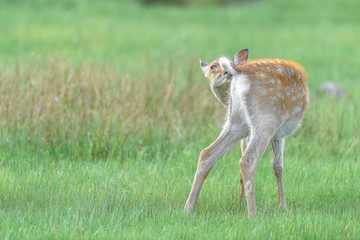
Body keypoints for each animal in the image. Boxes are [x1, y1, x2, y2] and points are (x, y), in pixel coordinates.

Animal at [186, 48, 310, 218]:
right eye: (212, 66)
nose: (225, 72)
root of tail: (238, 72)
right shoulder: (279, 134)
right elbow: (278, 166)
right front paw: (282, 207)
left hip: (237, 122)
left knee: (207, 153)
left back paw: (189, 208)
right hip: (266, 120)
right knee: (247, 161)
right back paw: (253, 214)